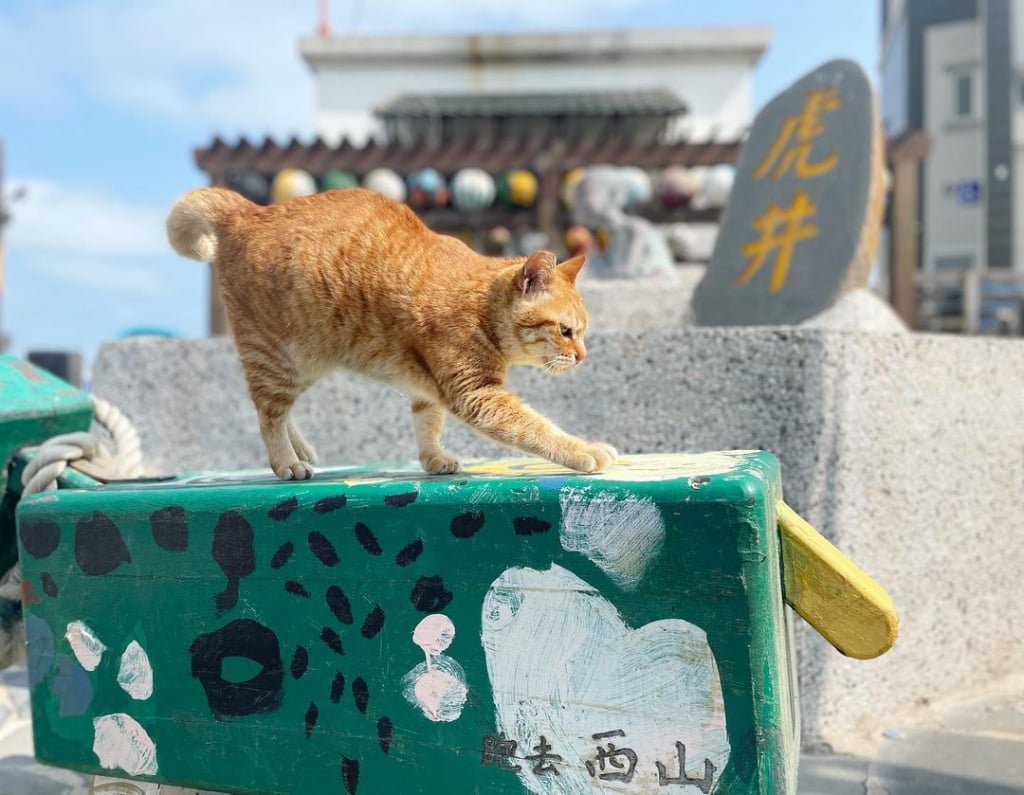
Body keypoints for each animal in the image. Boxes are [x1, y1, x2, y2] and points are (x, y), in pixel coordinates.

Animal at [166, 187, 614, 477]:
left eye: (583, 333)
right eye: (566, 331)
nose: (584, 357)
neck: (480, 305)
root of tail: (247, 210)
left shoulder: (429, 389)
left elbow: (427, 422)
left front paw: (434, 459)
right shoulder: (477, 394)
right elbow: (537, 428)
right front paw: (585, 450)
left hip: (300, 366)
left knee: (275, 410)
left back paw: (302, 450)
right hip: (281, 360)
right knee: (268, 415)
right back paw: (287, 462)